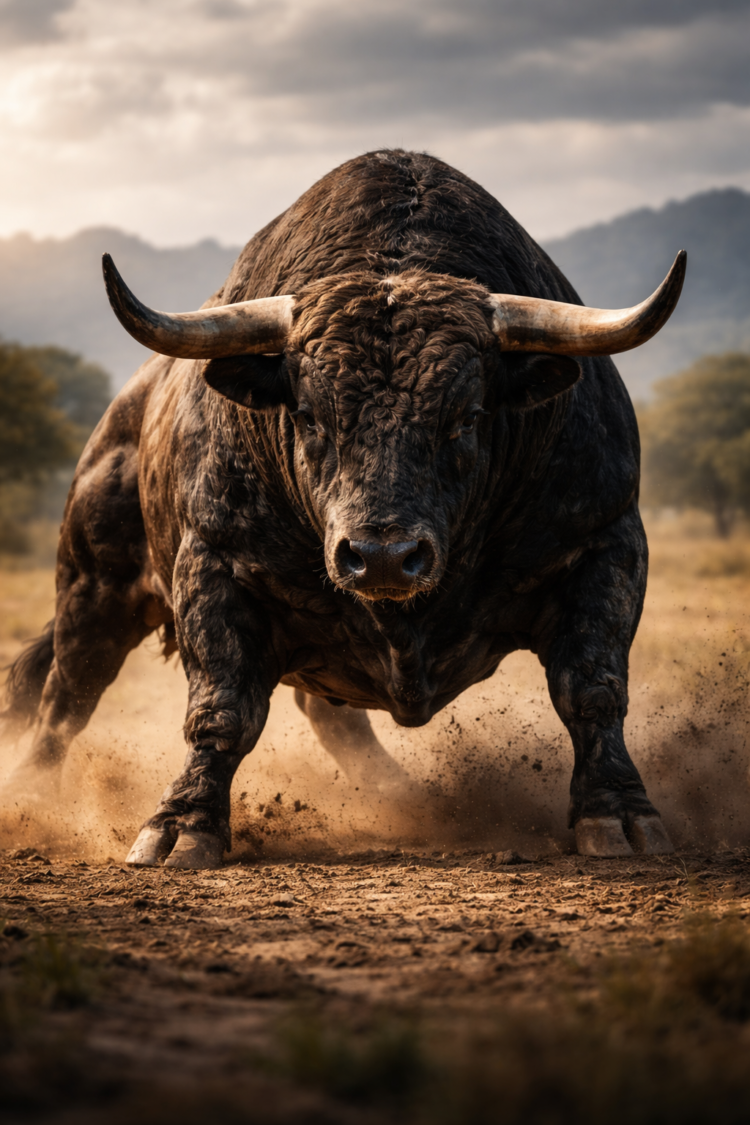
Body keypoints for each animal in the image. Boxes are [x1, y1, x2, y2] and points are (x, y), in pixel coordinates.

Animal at [2, 149, 685, 869]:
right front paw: (182, 823)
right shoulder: (214, 566)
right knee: (65, 697)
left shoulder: (606, 544)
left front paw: (619, 812)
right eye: (308, 414)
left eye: (468, 417)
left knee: (334, 719)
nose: (382, 556)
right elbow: (221, 706)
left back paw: (404, 798)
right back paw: (27, 794)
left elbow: (592, 688)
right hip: (92, 588)